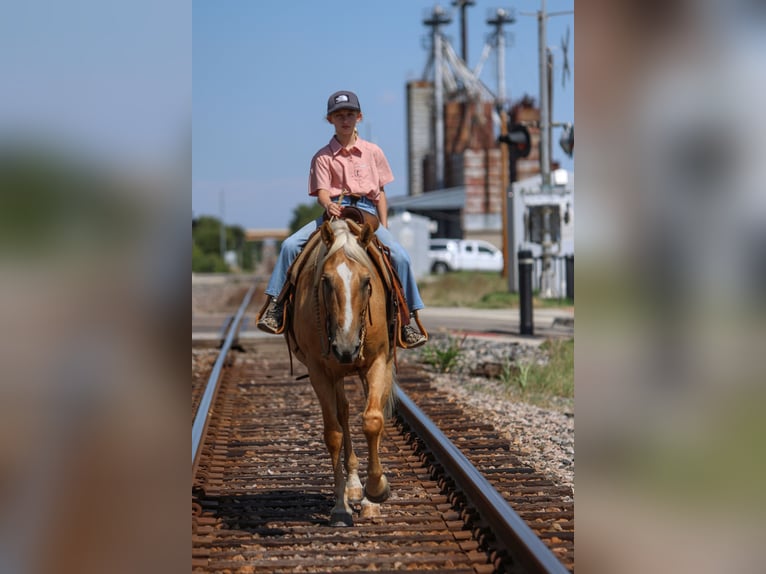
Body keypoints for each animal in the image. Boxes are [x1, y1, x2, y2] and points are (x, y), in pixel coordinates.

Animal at [286, 218, 396, 528]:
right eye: (325, 281)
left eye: (367, 281)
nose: (346, 348)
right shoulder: (319, 371)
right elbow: (333, 433)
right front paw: (340, 507)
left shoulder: (379, 362)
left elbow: (373, 421)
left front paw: (376, 492)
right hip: (335, 374)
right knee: (344, 413)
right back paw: (354, 486)